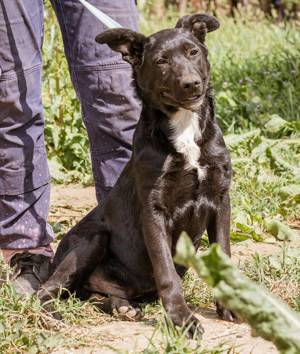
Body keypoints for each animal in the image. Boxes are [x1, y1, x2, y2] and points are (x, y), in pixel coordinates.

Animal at [38, 13, 233, 338]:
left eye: (193, 52)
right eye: (161, 61)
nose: (191, 84)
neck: (185, 130)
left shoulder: (220, 199)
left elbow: (225, 257)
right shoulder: (154, 212)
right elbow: (167, 273)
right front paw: (182, 319)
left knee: (98, 296)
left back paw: (122, 306)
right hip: (92, 239)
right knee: (46, 289)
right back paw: (51, 315)